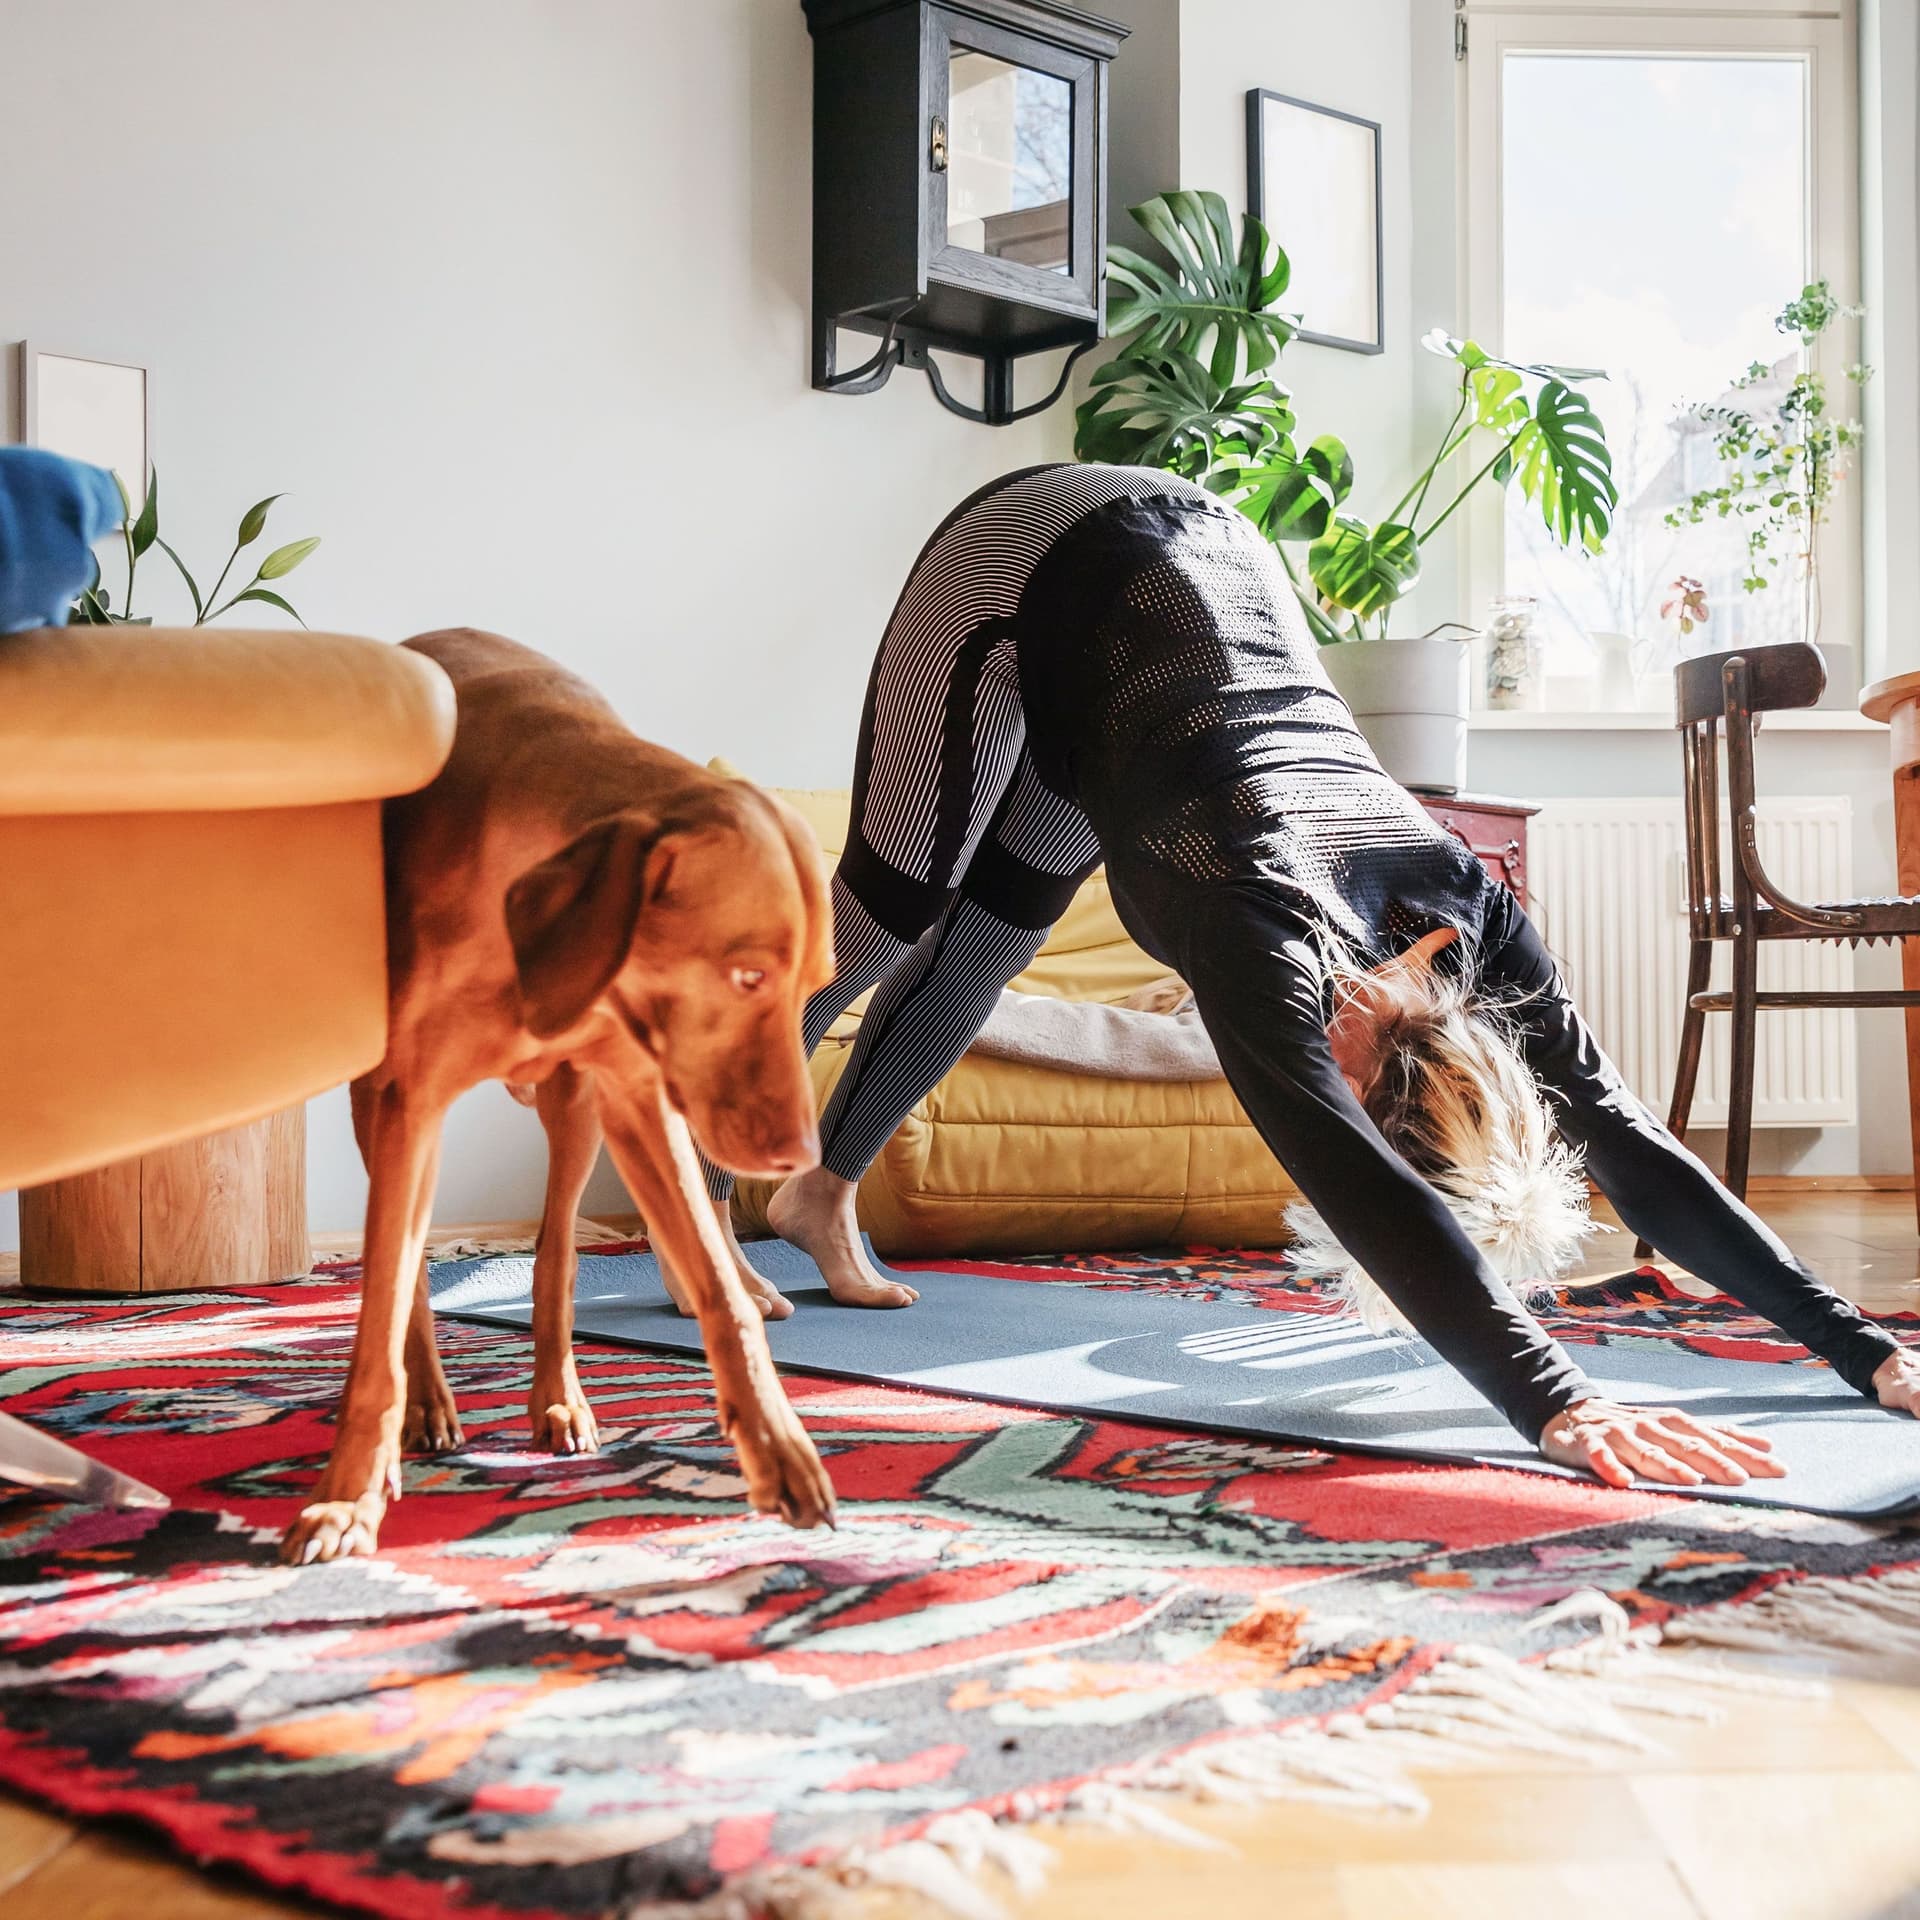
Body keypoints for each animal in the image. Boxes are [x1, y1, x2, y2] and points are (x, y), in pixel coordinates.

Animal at [280, 637, 837, 1566]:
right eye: (746, 975)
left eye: (809, 985)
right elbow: (384, 1307)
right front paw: (347, 1498)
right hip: (379, 1105)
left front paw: (777, 1446)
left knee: (553, 1257)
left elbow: (722, 1295)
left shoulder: (640, 1102)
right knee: (410, 1268)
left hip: (578, 1112)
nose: (802, 1154)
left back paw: (558, 1398)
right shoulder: (410, 1104)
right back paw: (427, 1405)